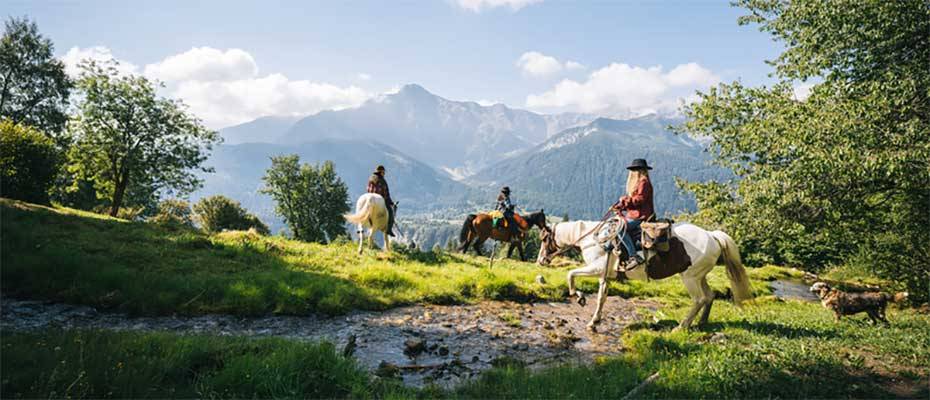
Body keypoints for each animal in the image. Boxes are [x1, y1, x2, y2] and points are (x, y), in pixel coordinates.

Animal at [536, 220, 752, 330]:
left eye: (545, 239)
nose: (540, 260)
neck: (596, 239)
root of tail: (712, 235)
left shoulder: (596, 268)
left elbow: (571, 274)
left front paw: (578, 296)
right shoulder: (604, 275)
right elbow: (601, 298)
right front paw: (594, 321)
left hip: (690, 278)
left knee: (699, 299)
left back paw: (682, 326)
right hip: (699, 276)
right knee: (709, 295)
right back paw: (701, 322)